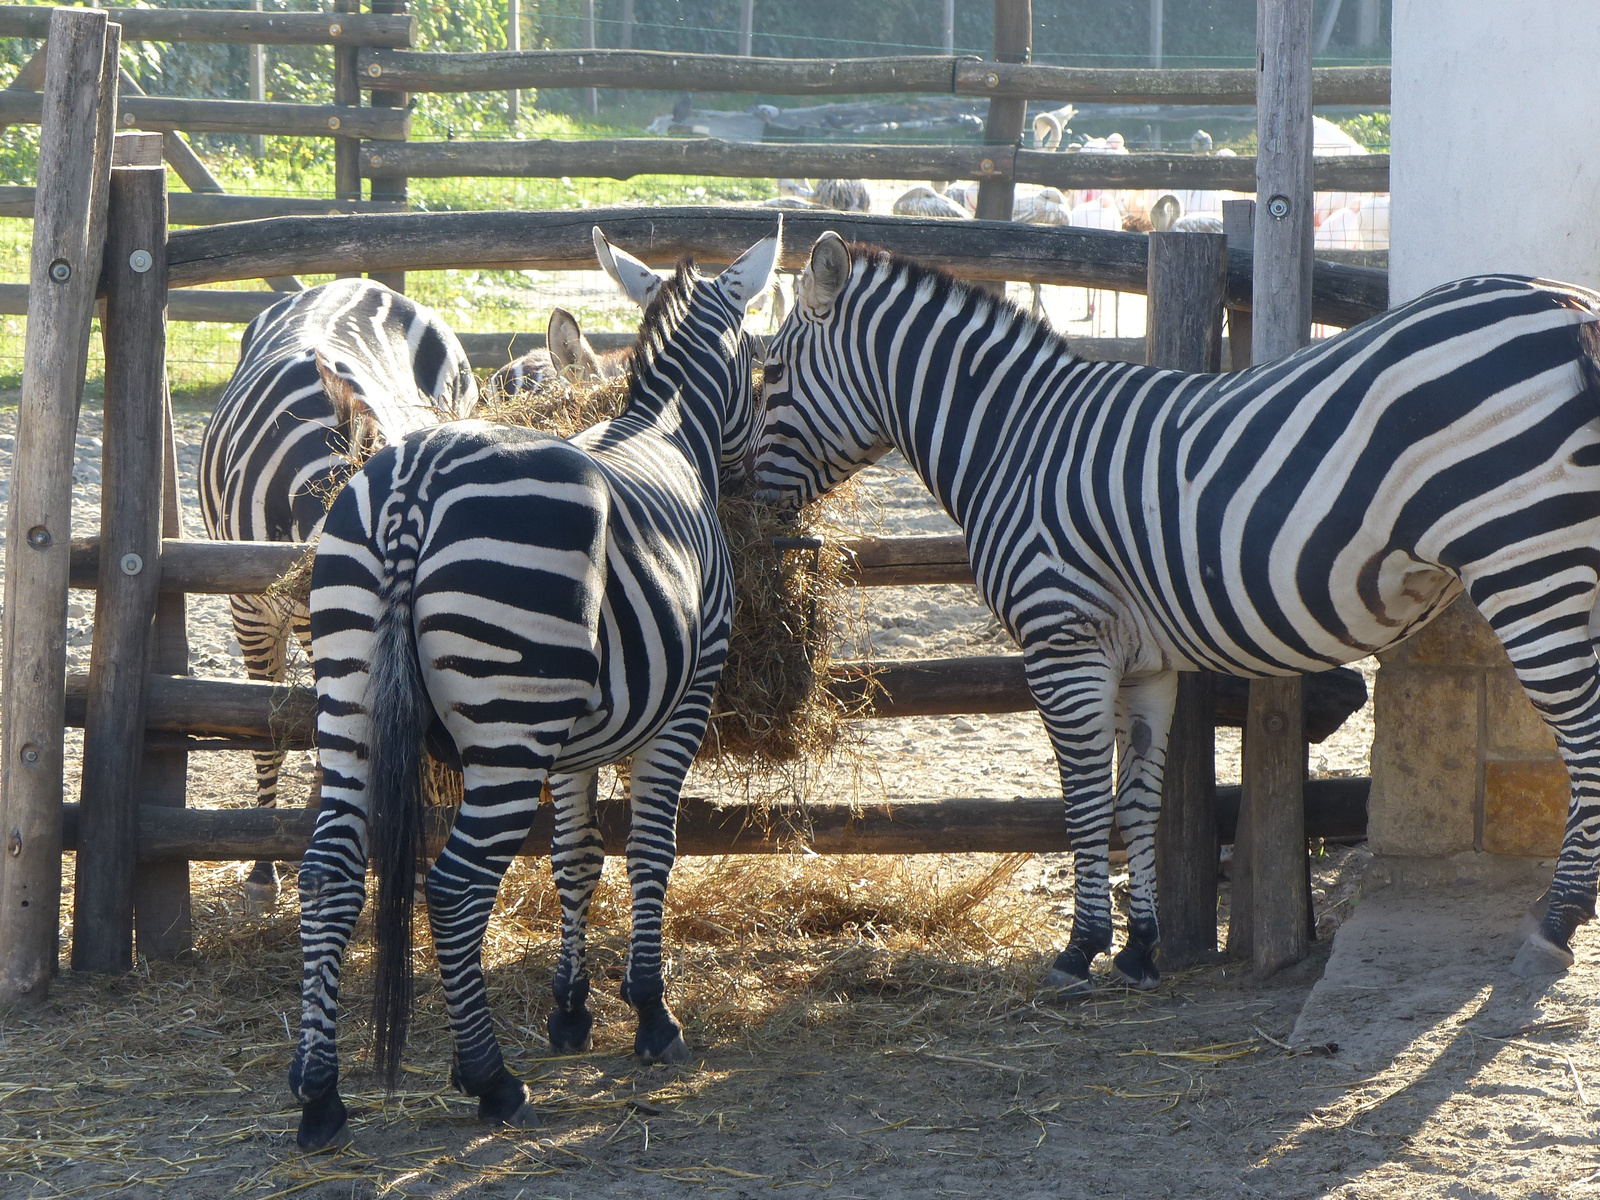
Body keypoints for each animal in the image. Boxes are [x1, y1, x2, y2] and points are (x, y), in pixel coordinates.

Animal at [289, 220, 787, 1152]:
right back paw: (490, 1081)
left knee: (329, 871)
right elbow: (651, 850)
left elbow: (577, 859)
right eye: (762, 362)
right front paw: (651, 1014)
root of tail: (416, 484)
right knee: (455, 887)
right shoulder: (683, 703)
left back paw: (318, 1095)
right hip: (507, 731)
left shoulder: (581, 735)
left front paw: (571, 1010)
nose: (752, 478)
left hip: (351, 696)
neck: (662, 429)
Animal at [752, 232, 1600, 998]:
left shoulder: (1062, 641)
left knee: (1583, 736)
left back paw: (1556, 923)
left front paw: (1079, 952)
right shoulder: (1144, 663)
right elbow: (1138, 798)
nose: (738, 494)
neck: (1014, 444)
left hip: (1527, 558)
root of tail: (1570, 309)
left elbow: (1084, 798)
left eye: (772, 373)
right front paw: (1139, 950)